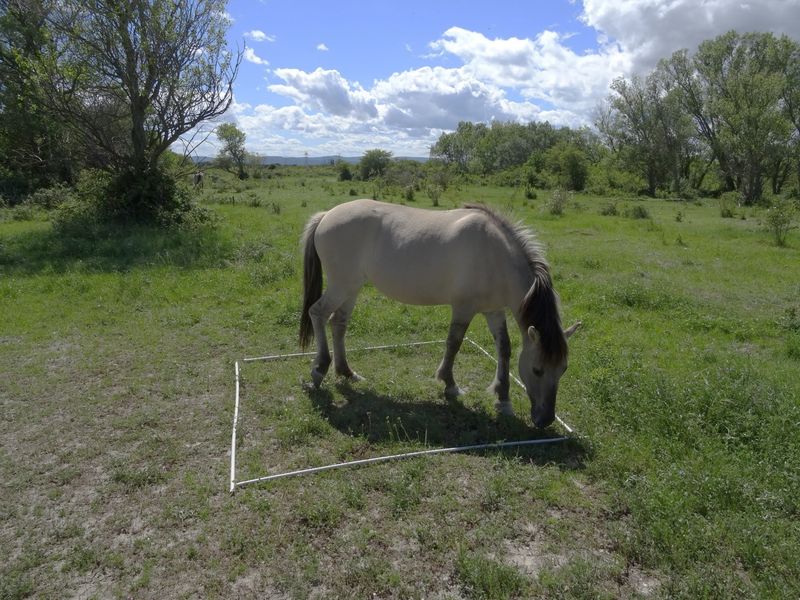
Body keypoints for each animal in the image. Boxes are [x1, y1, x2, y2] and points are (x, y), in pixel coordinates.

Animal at [299, 199, 580, 428]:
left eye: (563, 369)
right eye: (537, 370)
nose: (545, 420)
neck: (495, 255)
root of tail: (326, 215)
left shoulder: (494, 311)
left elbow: (505, 349)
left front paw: (503, 399)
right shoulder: (464, 308)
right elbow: (453, 344)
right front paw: (450, 384)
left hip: (353, 287)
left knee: (338, 323)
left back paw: (347, 372)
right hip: (342, 285)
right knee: (318, 313)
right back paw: (320, 369)